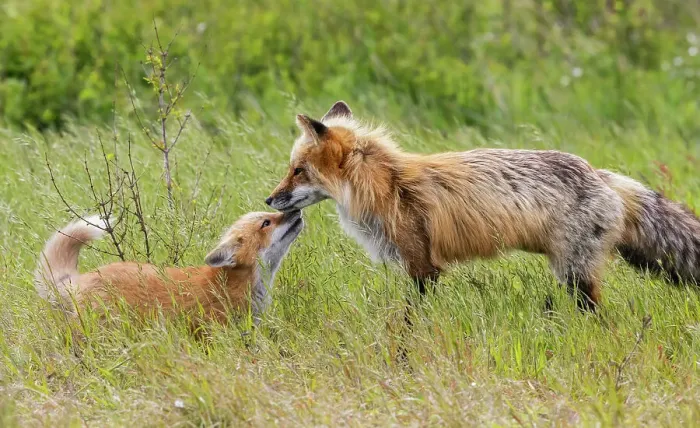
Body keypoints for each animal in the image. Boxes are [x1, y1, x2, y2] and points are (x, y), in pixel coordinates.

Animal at [266, 101, 700, 309]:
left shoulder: (422, 266)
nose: (268, 199)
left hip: (575, 276)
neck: (386, 185)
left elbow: (409, 319)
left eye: (298, 171)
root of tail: (600, 174)